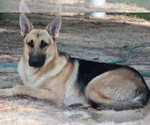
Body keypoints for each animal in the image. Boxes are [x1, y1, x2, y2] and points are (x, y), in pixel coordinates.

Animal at [0, 13, 149, 110]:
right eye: (30, 43)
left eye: (44, 44)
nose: (34, 62)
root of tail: (142, 82)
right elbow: (17, 83)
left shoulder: (53, 95)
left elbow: (24, 88)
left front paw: (6, 91)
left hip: (93, 85)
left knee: (109, 104)